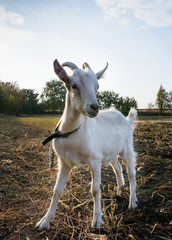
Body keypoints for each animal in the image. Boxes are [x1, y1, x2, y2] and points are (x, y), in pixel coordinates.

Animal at [36, 59, 137, 230]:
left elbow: (95, 190)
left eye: (97, 86)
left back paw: (133, 202)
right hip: (111, 152)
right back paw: (119, 189)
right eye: (74, 85)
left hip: (128, 148)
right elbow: (57, 191)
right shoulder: (64, 162)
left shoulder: (95, 160)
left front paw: (97, 220)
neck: (72, 132)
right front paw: (45, 221)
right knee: (117, 168)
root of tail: (126, 119)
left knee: (131, 173)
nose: (94, 107)